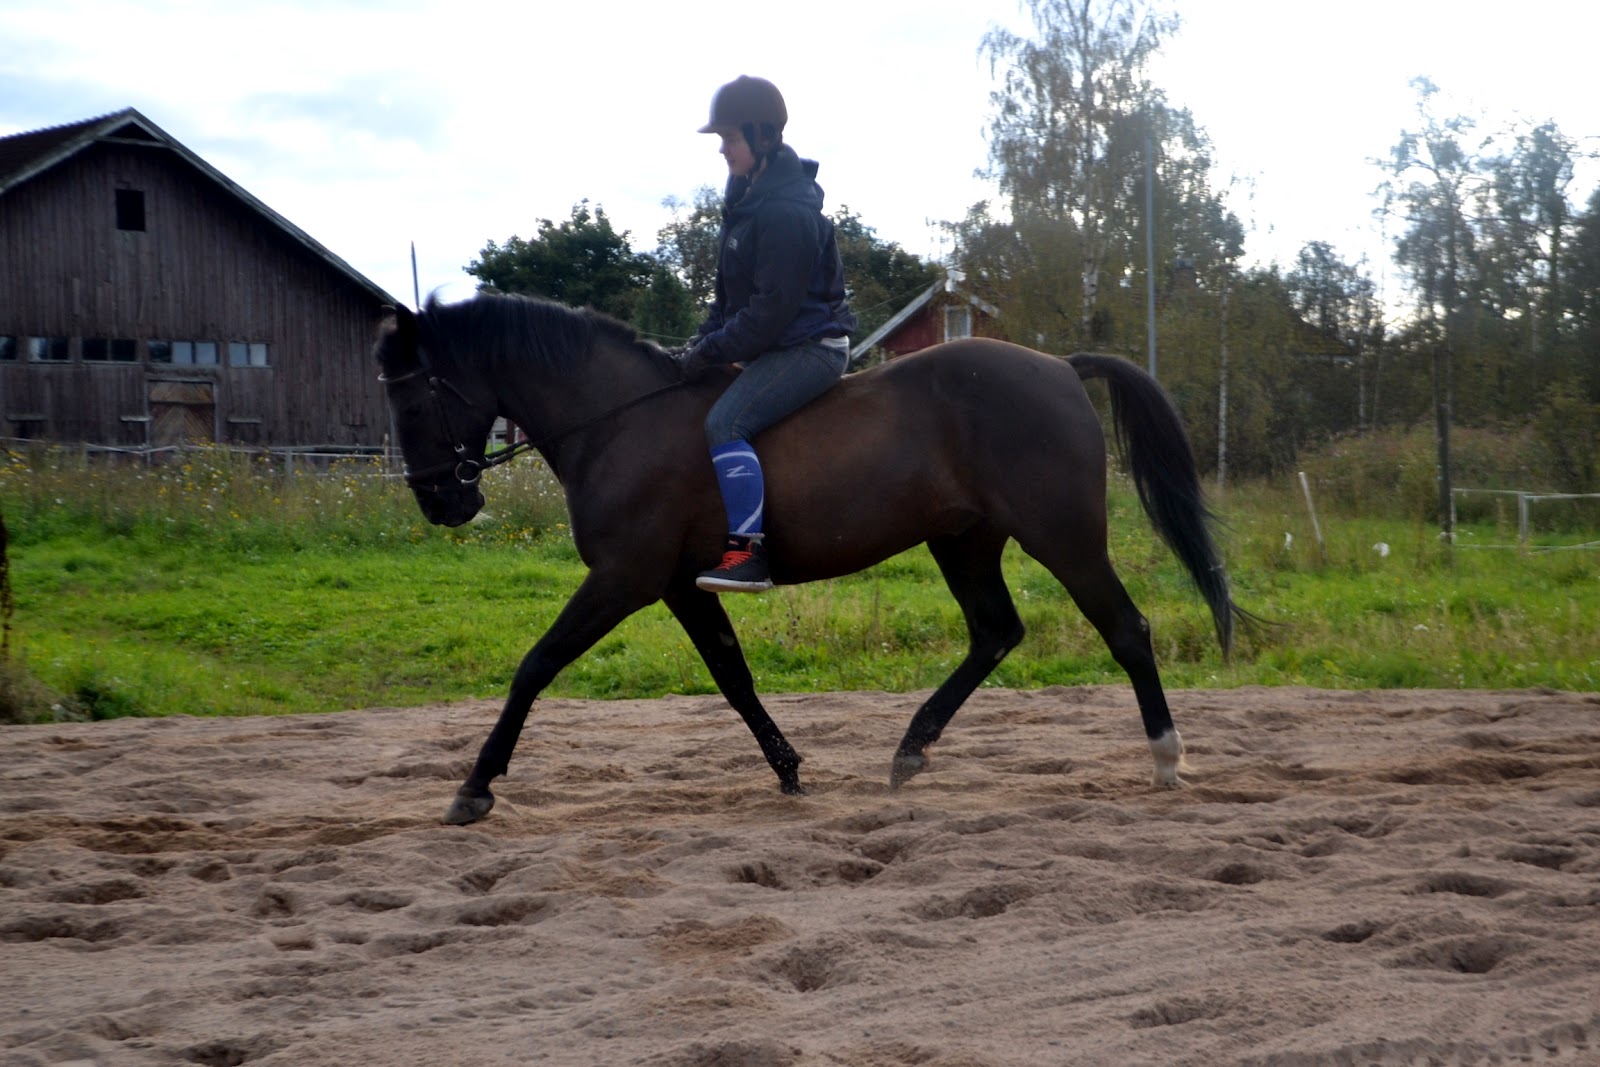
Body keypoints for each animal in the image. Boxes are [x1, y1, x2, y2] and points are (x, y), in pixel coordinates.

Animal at [374, 292, 1247, 825]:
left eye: (411, 395)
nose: (440, 502)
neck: (620, 419)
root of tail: (1062, 366)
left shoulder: (623, 578)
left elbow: (535, 664)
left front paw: (474, 786)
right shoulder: (679, 585)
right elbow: (732, 675)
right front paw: (789, 768)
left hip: (1060, 536)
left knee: (1125, 628)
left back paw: (1166, 757)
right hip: (963, 539)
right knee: (996, 632)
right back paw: (910, 749)